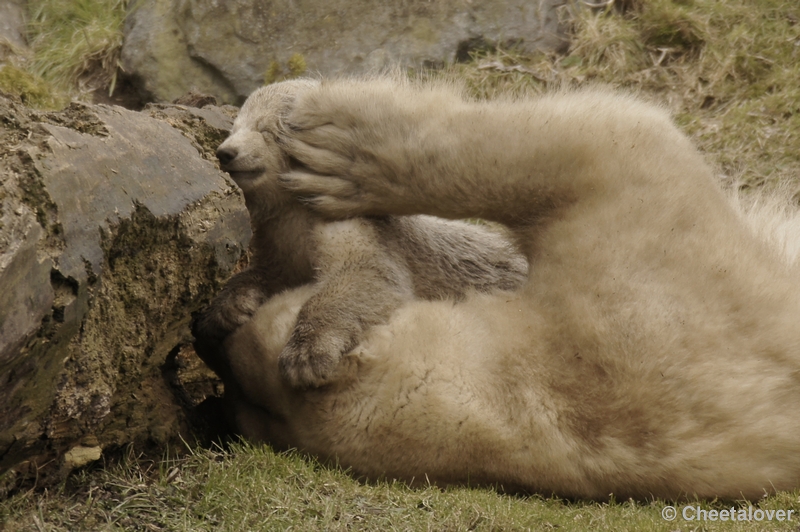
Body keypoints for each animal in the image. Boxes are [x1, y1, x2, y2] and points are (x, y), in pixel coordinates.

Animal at [191, 82, 528, 390]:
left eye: (265, 129)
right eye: (234, 126)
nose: (226, 153)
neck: (298, 213)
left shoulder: (351, 223)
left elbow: (367, 275)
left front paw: (307, 355)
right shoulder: (279, 238)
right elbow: (272, 272)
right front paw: (224, 310)